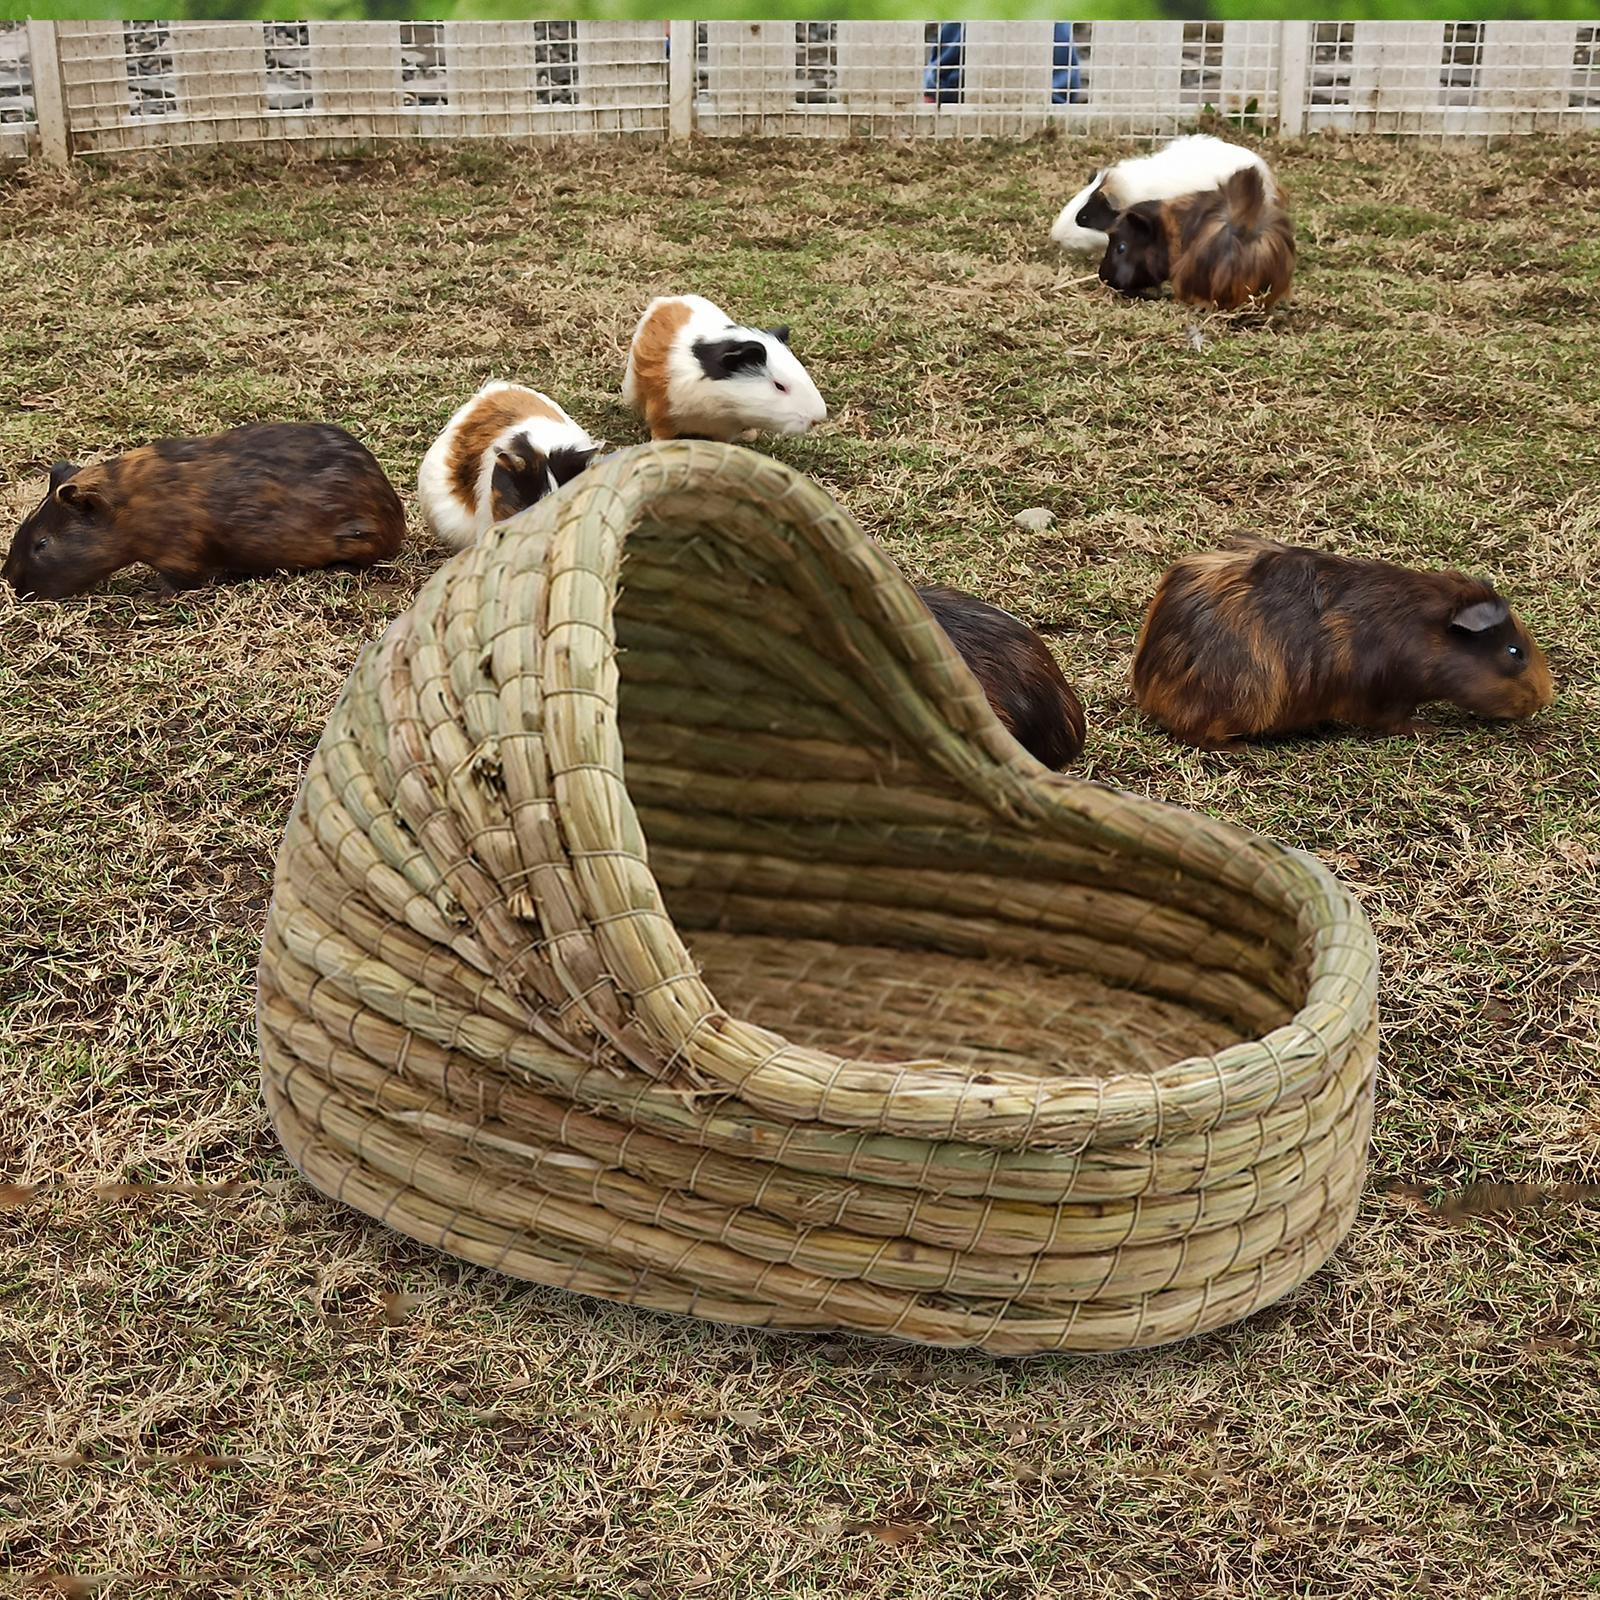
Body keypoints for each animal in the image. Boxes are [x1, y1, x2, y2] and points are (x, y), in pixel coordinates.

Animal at [1131, 536, 1554, 749]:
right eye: (1514, 651)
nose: (1545, 698)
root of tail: (1148, 689)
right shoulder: (1389, 696)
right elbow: (1396, 721)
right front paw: (1428, 728)